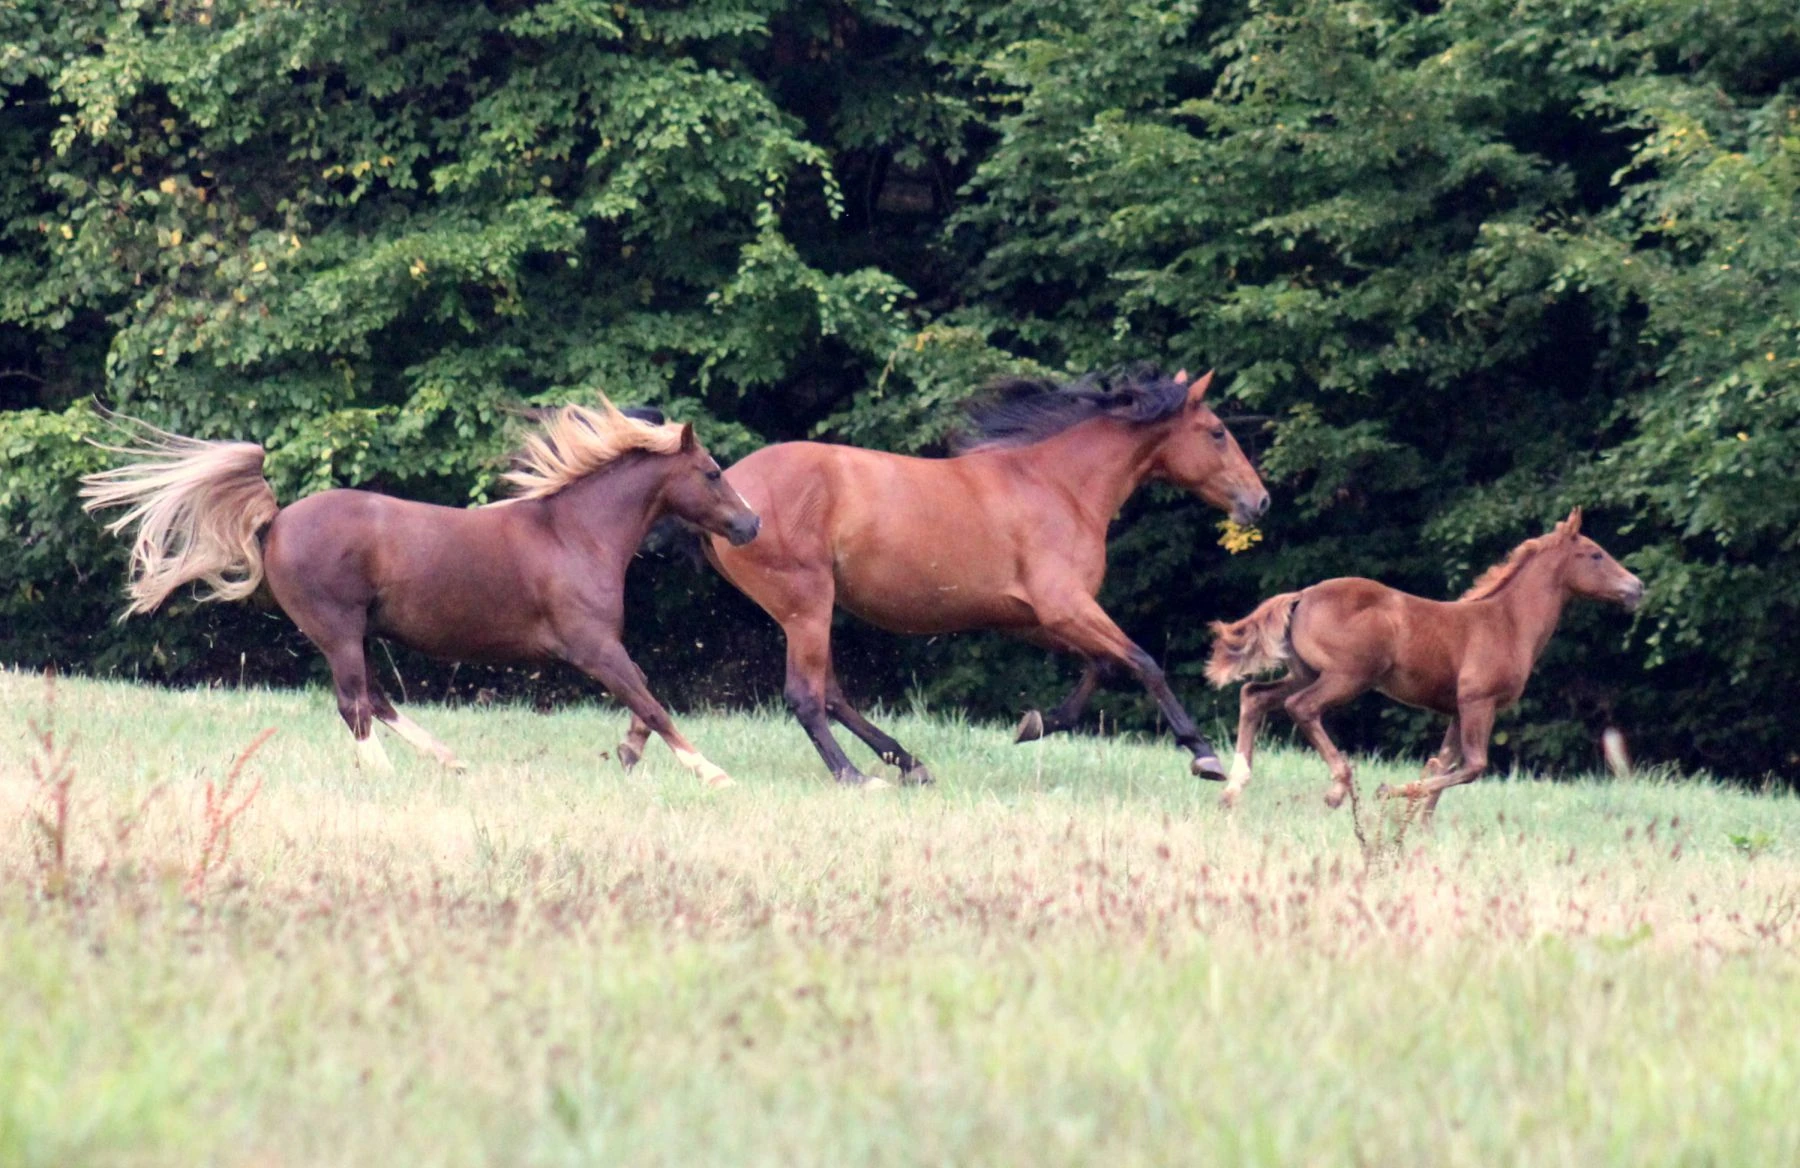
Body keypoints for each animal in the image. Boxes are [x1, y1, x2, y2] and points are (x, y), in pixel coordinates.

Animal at [82, 395, 759, 788]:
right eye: (712, 473)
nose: (751, 525)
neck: (573, 533)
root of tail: (276, 520)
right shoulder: (592, 648)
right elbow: (652, 701)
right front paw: (712, 772)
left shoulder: (604, 649)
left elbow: (645, 696)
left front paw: (629, 753)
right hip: (337, 630)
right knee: (355, 703)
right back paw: (384, 772)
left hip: (353, 635)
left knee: (375, 699)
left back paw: (448, 760)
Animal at [626, 363, 1274, 784]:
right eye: (1218, 432)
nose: (1260, 501)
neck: (1060, 487)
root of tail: (732, 493)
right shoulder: (1065, 606)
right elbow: (1143, 662)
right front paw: (1204, 755)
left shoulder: (1037, 618)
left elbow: (1102, 667)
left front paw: (1035, 724)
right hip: (806, 603)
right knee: (806, 697)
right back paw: (856, 775)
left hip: (812, 611)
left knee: (831, 694)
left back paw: (909, 762)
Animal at [1209, 503, 1648, 817]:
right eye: (1595, 554)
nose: (1637, 587)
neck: (1507, 621)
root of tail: (1302, 595)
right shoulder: (1478, 702)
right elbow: (1472, 766)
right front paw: (1390, 792)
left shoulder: (1457, 709)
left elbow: (1442, 765)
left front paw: (1419, 824)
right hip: (1348, 676)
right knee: (1301, 707)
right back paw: (1337, 787)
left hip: (1305, 672)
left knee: (1255, 695)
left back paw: (1232, 789)